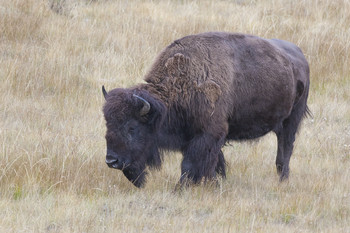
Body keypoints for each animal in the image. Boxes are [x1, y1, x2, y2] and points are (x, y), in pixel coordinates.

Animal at [101, 31, 308, 187]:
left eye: (132, 127)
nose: (111, 161)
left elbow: (191, 165)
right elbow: (215, 163)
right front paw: (215, 184)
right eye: (108, 125)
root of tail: (299, 56)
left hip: (291, 121)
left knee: (285, 151)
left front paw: (180, 189)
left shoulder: (208, 134)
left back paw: (282, 181)